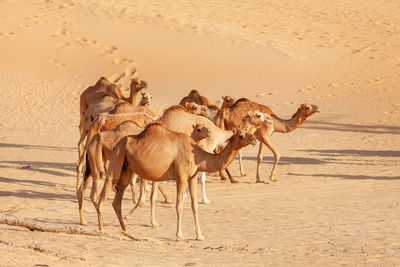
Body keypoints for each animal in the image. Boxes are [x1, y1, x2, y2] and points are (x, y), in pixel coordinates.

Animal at [76, 121, 212, 226]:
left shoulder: (155, 174)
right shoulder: (145, 174)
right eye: (199, 128)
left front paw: (154, 222)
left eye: (205, 125)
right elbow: (143, 199)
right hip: (98, 159)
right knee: (94, 190)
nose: (209, 132)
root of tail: (91, 141)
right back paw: (101, 221)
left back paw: (84, 221)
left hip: (93, 163)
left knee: (82, 189)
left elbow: (153, 197)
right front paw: (128, 218)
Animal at [95, 124, 255, 242]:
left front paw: (200, 235)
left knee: (117, 201)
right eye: (241, 135)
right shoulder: (181, 177)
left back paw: (125, 230)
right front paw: (180, 236)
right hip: (117, 158)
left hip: (126, 168)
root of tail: (117, 144)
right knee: (104, 193)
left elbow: (195, 206)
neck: (197, 155)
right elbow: (179, 206)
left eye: (247, 132)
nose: (253, 139)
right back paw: (102, 230)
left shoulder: (192, 177)